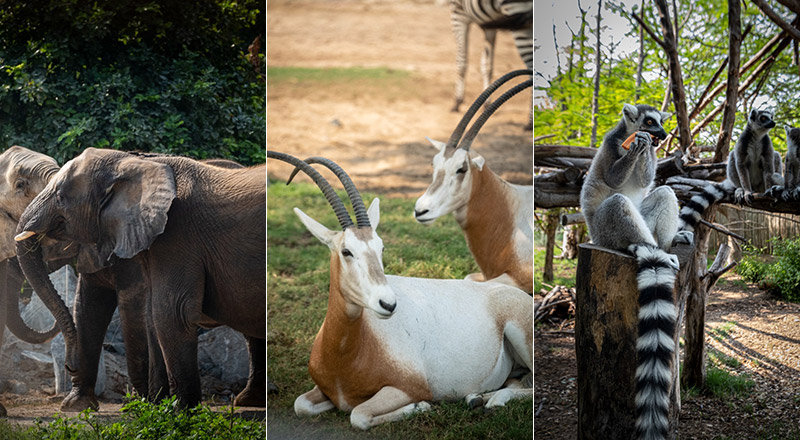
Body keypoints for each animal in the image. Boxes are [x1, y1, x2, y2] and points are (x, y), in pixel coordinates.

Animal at [16, 148, 266, 410]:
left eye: (61, 197)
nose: (69, 366)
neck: (134, 161)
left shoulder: (175, 236)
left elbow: (168, 312)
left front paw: (173, 410)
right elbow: (93, 307)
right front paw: (79, 405)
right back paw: (249, 400)